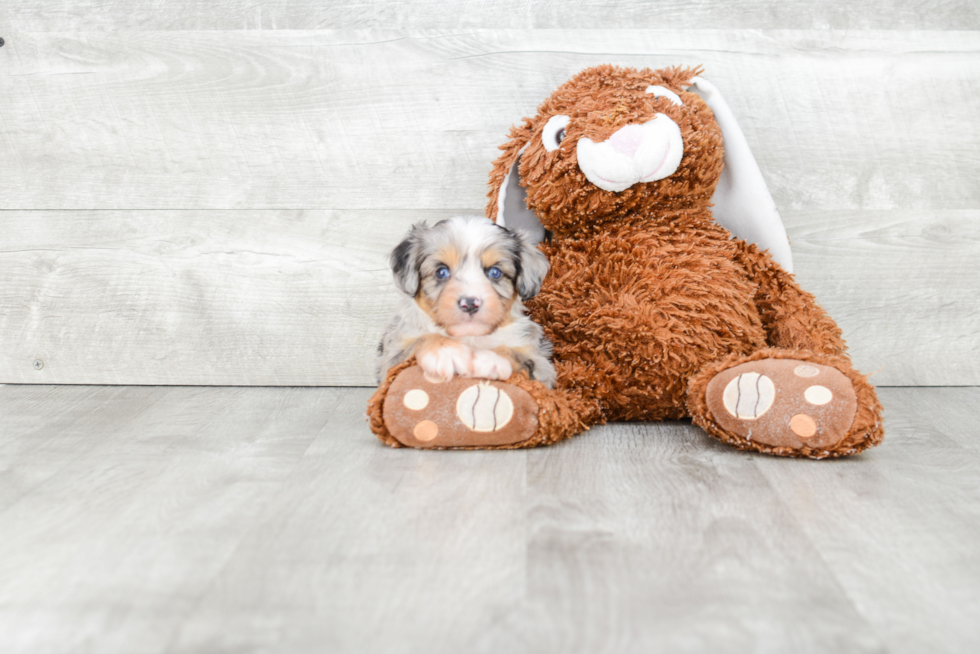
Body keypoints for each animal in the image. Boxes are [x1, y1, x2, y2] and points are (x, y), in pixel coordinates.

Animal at [378, 215, 556, 390]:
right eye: (441, 272)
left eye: (495, 272)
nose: (470, 304)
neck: (470, 336)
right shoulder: (391, 362)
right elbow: (424, 339)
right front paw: (445, 351)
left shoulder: (541, 367)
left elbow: (516, 354)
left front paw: (490, 358)